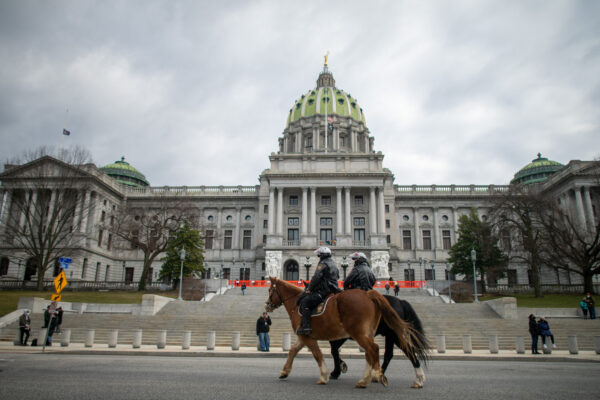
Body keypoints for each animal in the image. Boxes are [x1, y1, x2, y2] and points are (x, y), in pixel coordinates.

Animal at [264, 278, 414, 388]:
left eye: (270, 290)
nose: (267, 306)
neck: (297, 304)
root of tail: (368, 295)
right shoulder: (304, 336)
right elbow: (293, 351)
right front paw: (284, 372)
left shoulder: (309, 336)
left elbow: (319, 354)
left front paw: (325, 375)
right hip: (370, 333)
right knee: (372, 352)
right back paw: (369, 378)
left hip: (367, 334)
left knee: (378, 350)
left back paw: (377, 376)